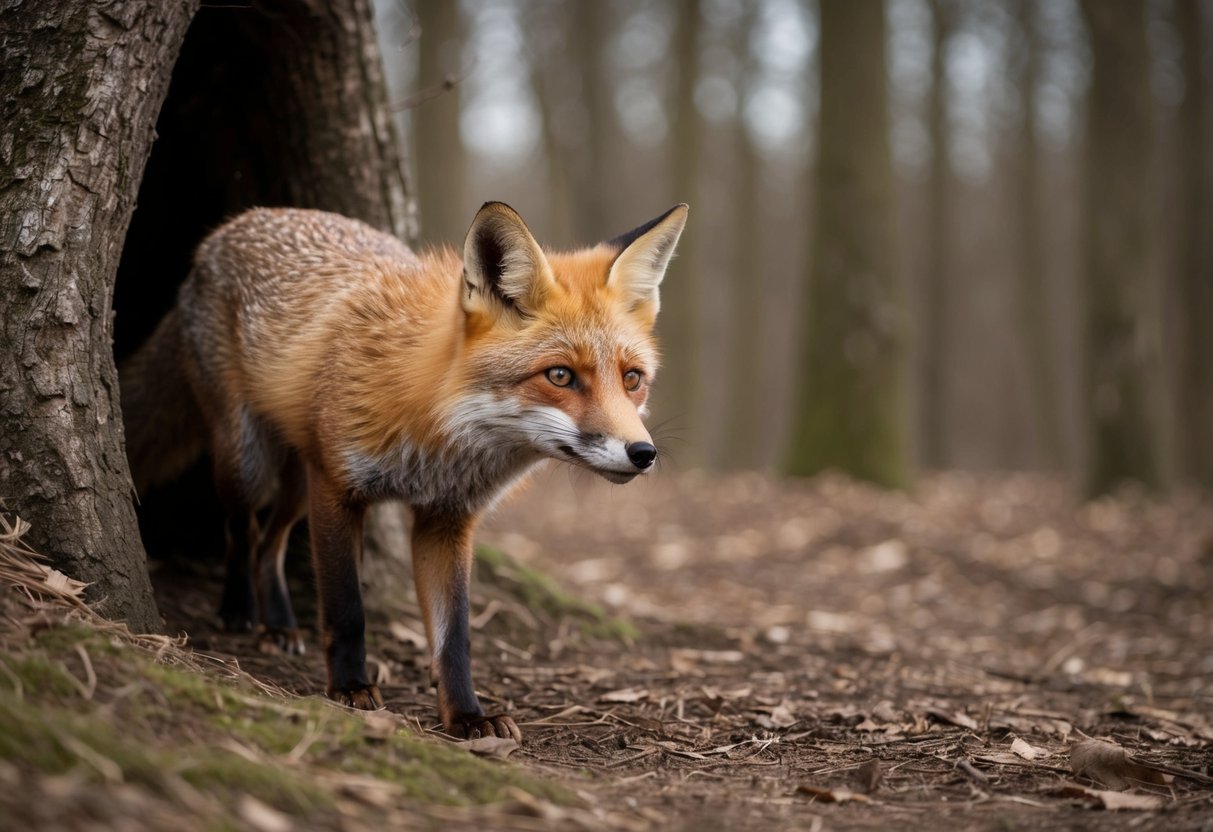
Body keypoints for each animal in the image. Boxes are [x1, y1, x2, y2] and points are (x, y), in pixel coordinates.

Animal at [120, 201, 688, 741]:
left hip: (299, 480)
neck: (440, 439)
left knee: (271, 543)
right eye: (561, 376)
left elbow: (454, 636)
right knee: (243, 528)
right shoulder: (338, 488)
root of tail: (229, 228)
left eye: (632, 379)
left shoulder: (446, 519)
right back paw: (241, 610)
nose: (643, 453)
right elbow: (347, 608)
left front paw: (467, 716)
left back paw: (278, 624)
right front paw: (351, 687)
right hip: (249, 461)